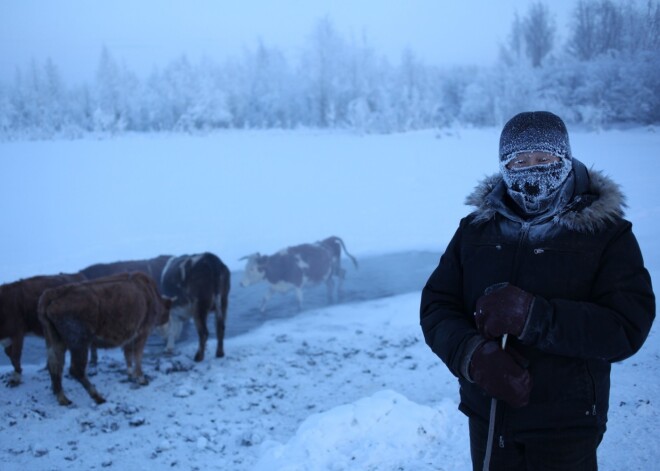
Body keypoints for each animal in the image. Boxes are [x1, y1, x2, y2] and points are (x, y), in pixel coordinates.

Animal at [36, 272, 171, 406]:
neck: (150, 292)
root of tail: (52, 294)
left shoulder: (129, 339)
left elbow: (128, 356)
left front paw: (130, 375)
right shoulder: (142, 334)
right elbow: (137, 357)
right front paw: (142, 379)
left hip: (55, 342)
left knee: (55, 365)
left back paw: (62, 398)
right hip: (80, 343)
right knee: (76, 370)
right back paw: (97, 397)